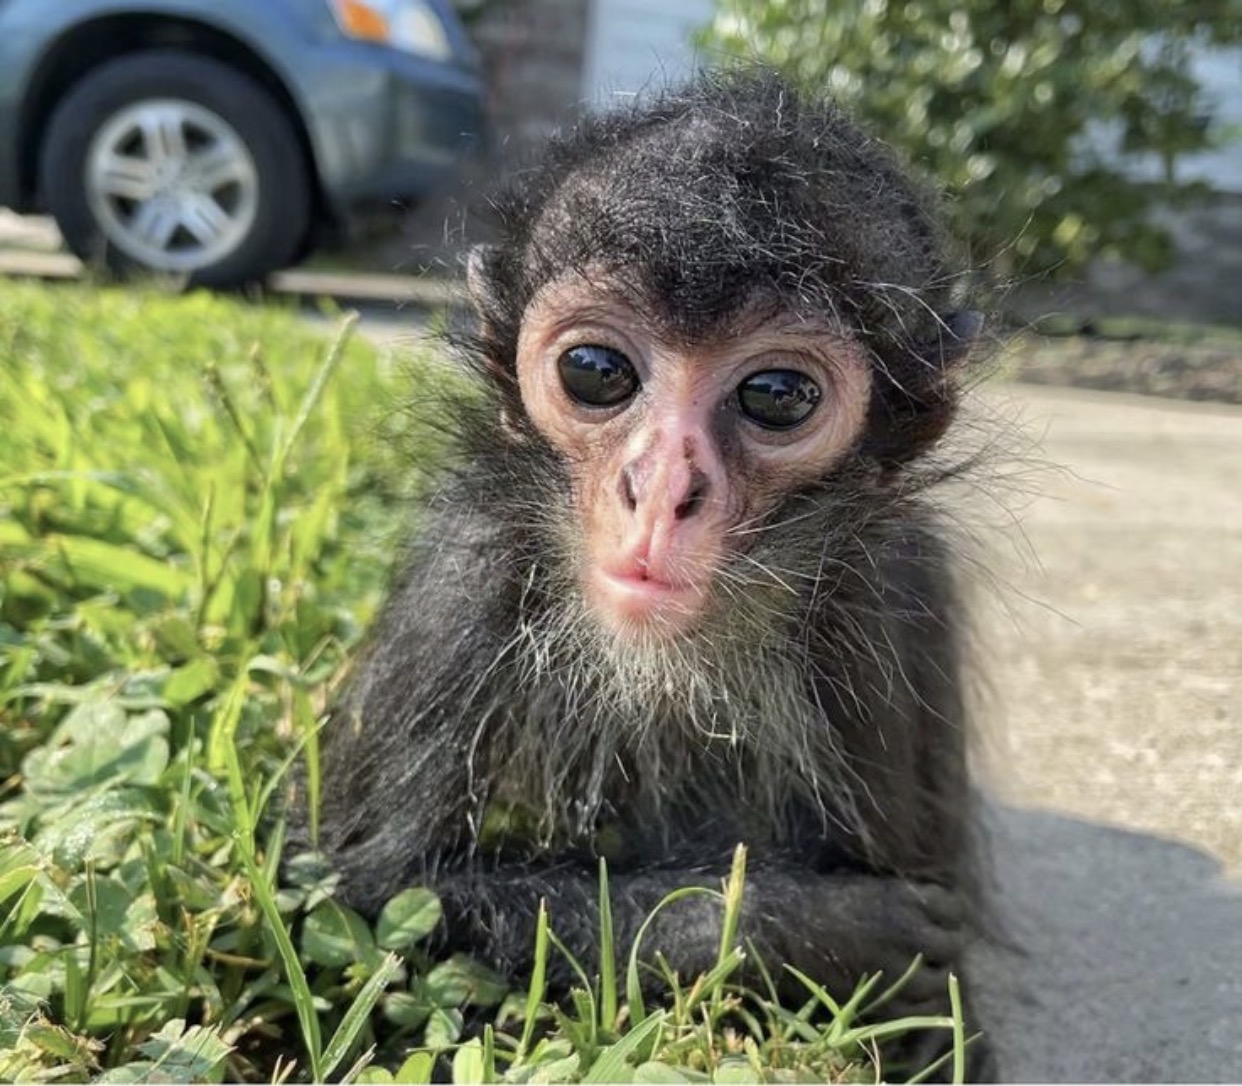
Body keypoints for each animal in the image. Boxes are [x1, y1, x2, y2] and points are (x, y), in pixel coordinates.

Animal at [306, 68, 995, 1079]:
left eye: (777, 395)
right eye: (596, 371)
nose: (663, 490)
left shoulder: (893, 589)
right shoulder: (467, 572)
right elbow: (358, 887)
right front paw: (812, 928)